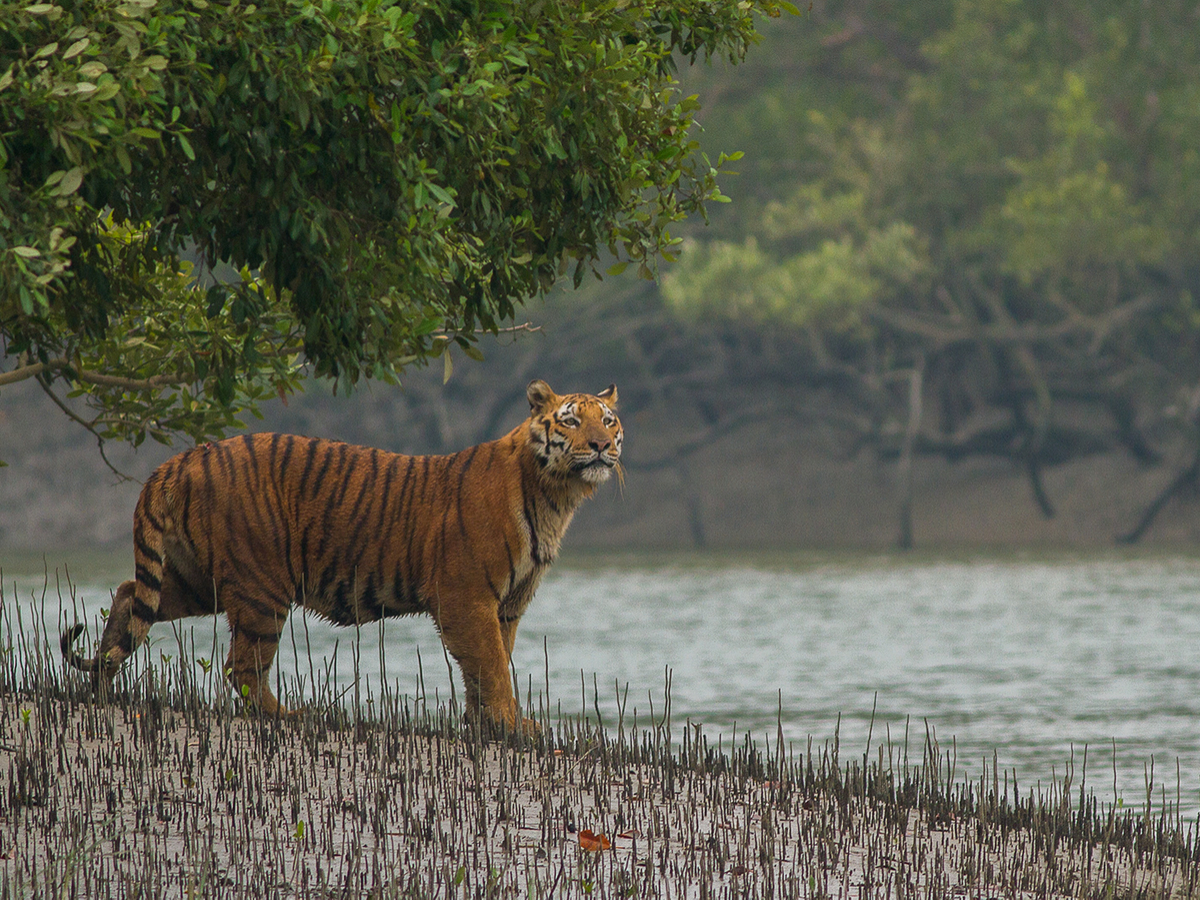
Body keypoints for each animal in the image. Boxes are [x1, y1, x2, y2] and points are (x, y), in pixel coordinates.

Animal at [60, 381, 624, 734]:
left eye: (608, 420)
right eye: (571, 422)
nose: (601, 446)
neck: (556, 495)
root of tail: (183, 458)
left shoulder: (507, 604)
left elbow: (490, 664)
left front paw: (487, 723)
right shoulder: (468, 597)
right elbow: (491, 665)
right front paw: (511, 725)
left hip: (198, 580)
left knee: (130, 595)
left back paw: (100, 684)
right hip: (262, 587)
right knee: (242, 667)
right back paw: (289, 716)